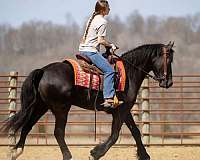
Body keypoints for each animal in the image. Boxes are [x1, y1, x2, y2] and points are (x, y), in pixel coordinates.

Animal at [1, 42, 173, 159]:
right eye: (168, 60)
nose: (168, 83)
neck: (129, 72)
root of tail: (43, 71)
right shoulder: (121, 110)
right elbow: (115, 135)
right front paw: (95, 153)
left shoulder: (124, 110)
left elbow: (135, 131)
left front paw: (144, 155)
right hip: (61, 108)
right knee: (58, 132)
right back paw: (68, 156)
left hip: (40, 106)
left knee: (27, 126)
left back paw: (16, 151)